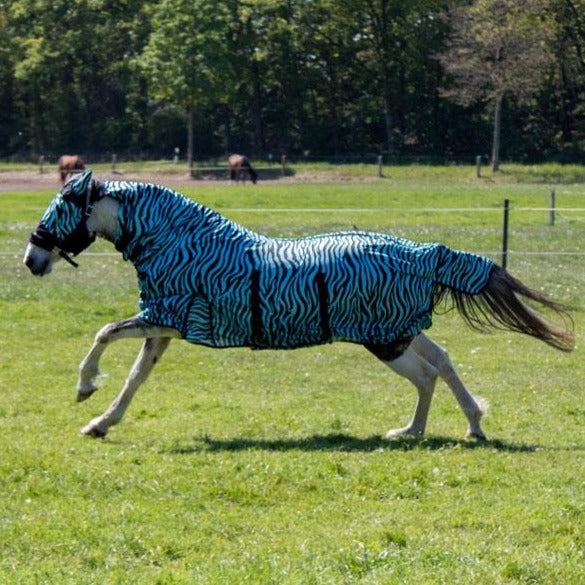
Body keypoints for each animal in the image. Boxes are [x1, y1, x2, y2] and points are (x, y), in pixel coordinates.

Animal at [24, 171, 576, 440]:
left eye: (59, 207)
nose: (32, 260)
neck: (182, 244)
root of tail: (422, 252)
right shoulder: (163, 327)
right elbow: (135, 379)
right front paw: (100, 423)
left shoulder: (167, 319)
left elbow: (104, 334)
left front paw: (84, 389)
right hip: (397, 332)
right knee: (438, 364)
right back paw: (448, 427)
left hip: (385, 337)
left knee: (429, 371)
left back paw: (442, 429)